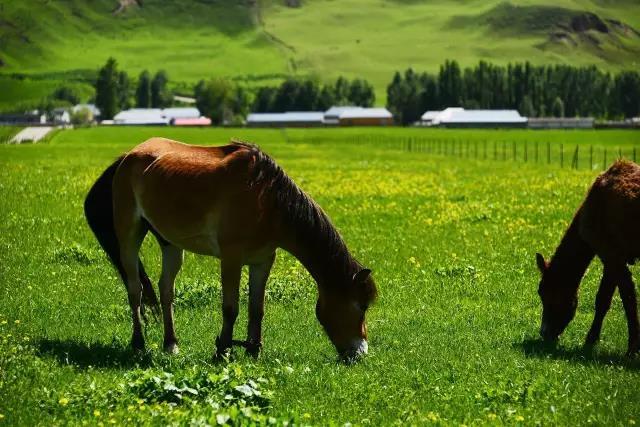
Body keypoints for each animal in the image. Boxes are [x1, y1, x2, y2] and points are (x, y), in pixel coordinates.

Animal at [84, 138, 376, 362]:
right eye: (361, 305)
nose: (360, 353)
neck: (267, 200)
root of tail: (127, 157)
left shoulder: (262, 260)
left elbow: (257, 308)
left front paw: (254, 350)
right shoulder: (231, 258)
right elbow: (230, 307)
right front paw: (222, 349)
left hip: (170, 244)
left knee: (166, 291)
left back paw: (171, 344)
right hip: (129, 235)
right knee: (135, 290)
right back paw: (138, 344)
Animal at [536, 160, 640, 354]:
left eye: (545, 293)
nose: (544, 333)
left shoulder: (611, 253)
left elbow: (622, 298)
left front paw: (632, 348)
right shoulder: (613, 257)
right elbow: (607, 299)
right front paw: (593, 339)